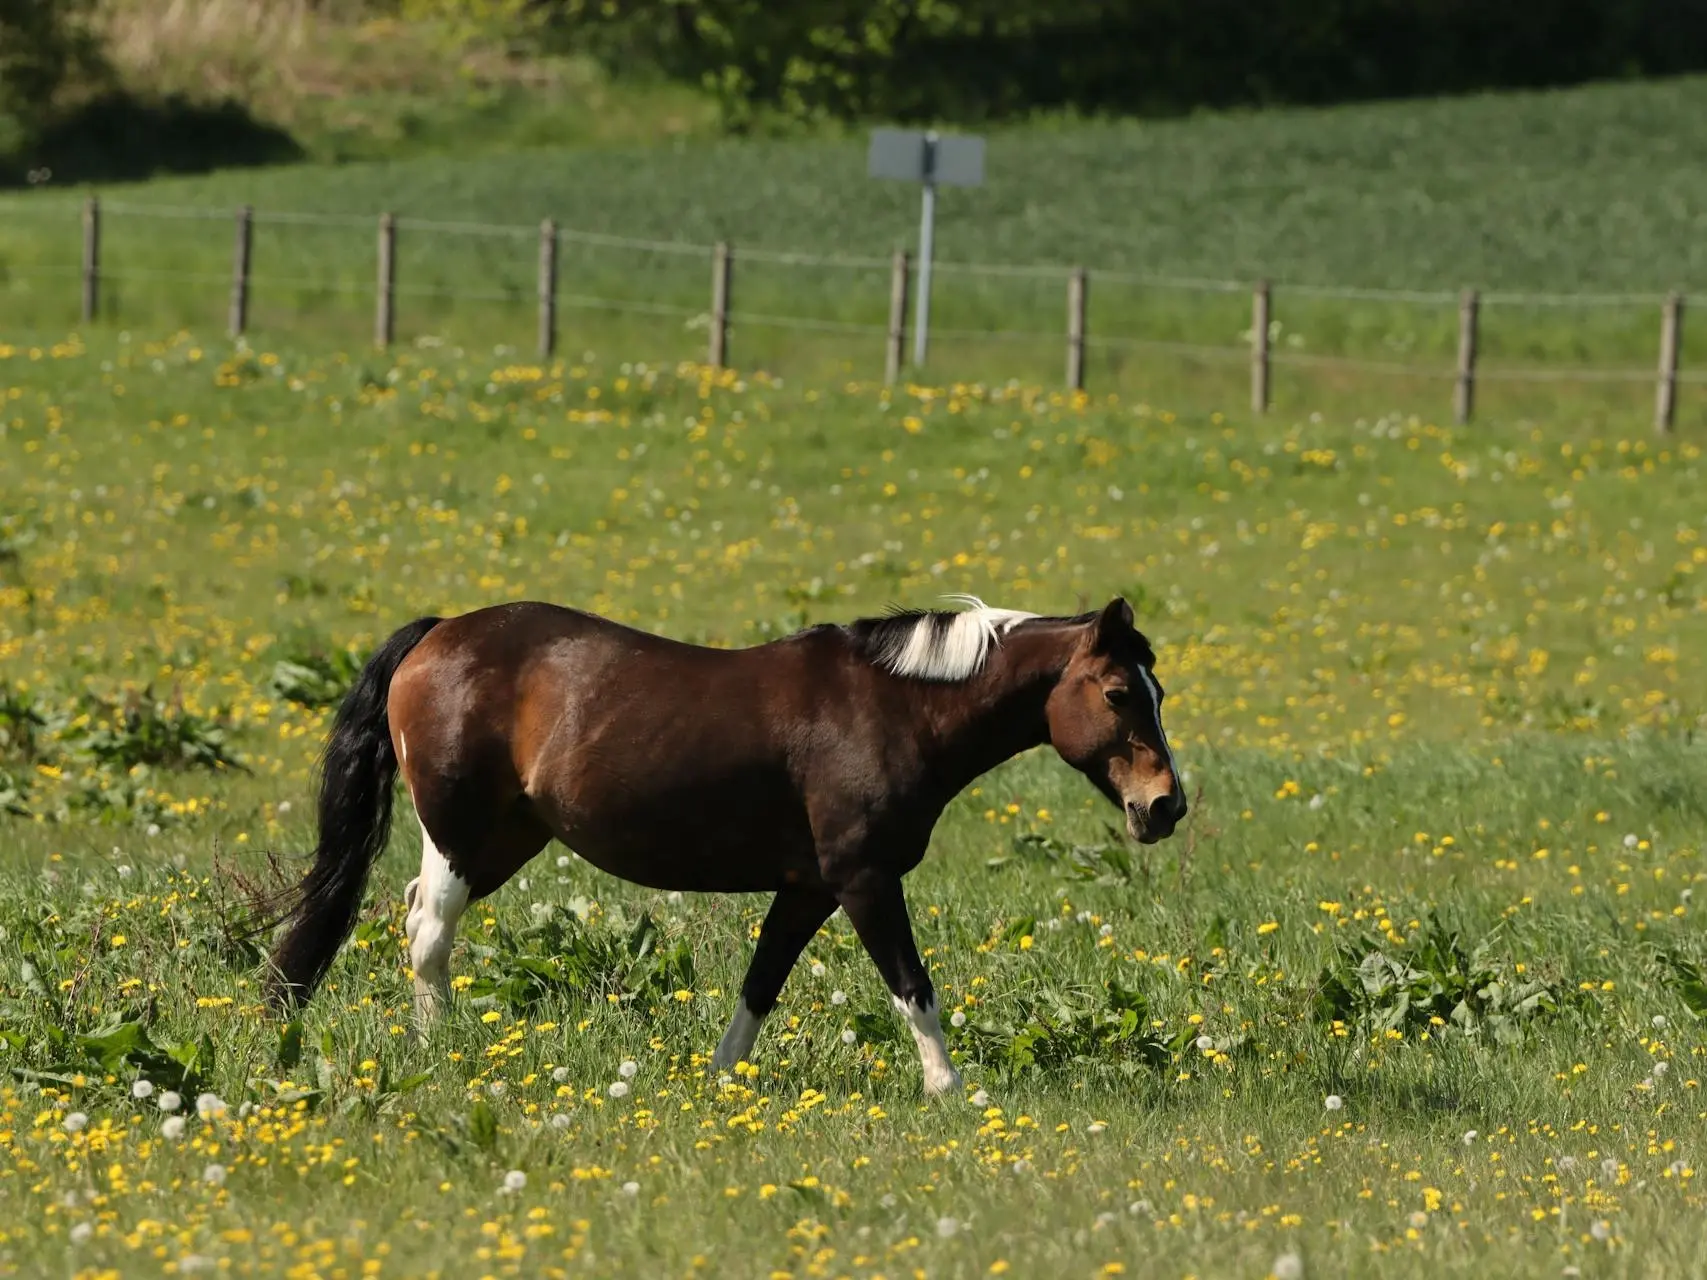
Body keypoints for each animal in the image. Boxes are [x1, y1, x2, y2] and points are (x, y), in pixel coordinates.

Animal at [262, 597, 1188, 1099]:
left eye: (1158, 690)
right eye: (1116, 693)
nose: (1165, 806)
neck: (895, 708)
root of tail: (440, 632)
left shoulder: (809, 887)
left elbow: (759, 984)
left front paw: (720, 1081)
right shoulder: (864, 880)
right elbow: (913, 989)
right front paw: (950, 1090)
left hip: (507, 838)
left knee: (415, 916)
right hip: (459, 831)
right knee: (428, 930)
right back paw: (438, 1050)